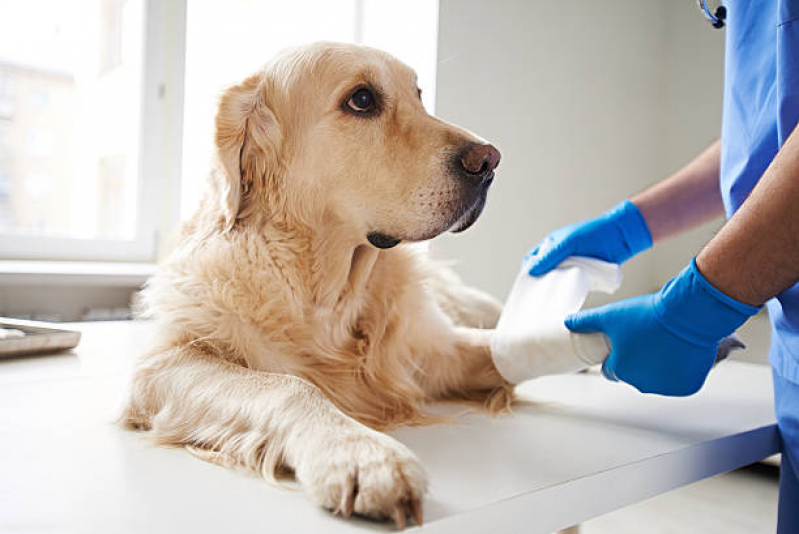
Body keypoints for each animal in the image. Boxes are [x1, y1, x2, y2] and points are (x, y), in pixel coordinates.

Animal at [122, 43, 516, 532]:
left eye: (419, 95)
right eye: (362, 100)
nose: (490, 161)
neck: (327, 292)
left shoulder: (430, 353)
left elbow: (504, 350)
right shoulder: (164, 363)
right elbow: (288, 385)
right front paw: (362, 456)